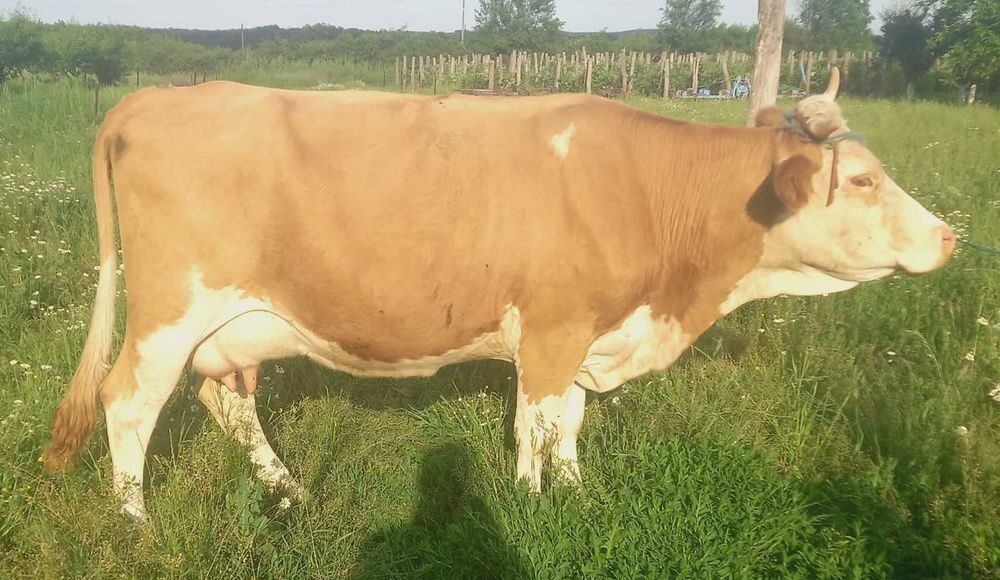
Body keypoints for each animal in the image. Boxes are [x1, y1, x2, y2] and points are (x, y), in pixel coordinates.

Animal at [43, 68, 955, 524]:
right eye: (864, 180)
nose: (949, 236)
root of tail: (159, 96)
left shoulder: (590, 330)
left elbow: (571, 424)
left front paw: (578, 495)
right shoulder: (552, 329)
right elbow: (535, 424)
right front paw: (529, 503)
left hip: (234, 327)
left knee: (228, 402)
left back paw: (290, 491)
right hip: (168, 312)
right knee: (128, 403)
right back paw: (135, 522)